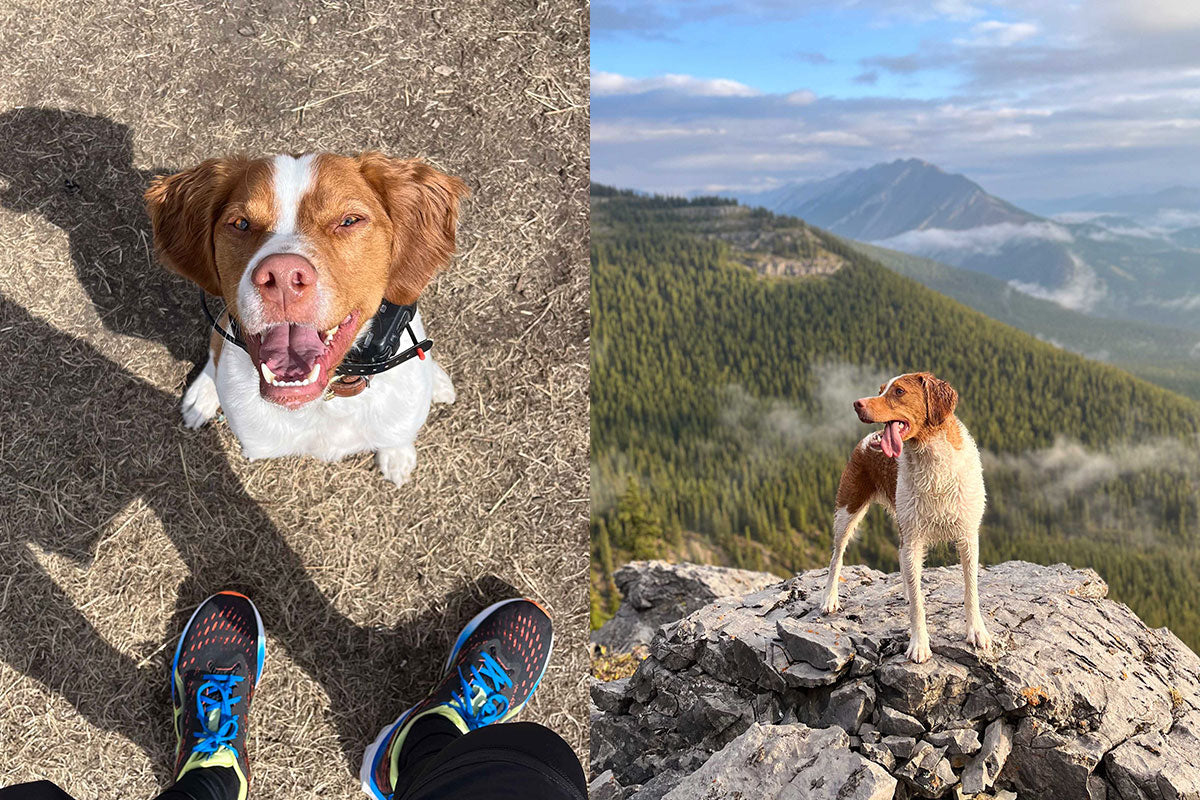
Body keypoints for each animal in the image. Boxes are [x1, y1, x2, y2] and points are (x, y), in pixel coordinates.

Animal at [145, 153, 468, 484]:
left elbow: (396, 436)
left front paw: (397, 456)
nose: (283, 276)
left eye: (349, 220)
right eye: (241, 223)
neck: (327, 399)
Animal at [816, 374, 993, 662]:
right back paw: (829, 599)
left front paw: (976, 632)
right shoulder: (914, 537)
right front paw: (919, 644)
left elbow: (971, 589)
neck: (932, 462)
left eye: (898, 391)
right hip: (848, 509)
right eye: (880, 390)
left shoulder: (968, 536)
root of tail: (865, 441)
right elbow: (918, 606)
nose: (856, 403)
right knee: (836, 557)